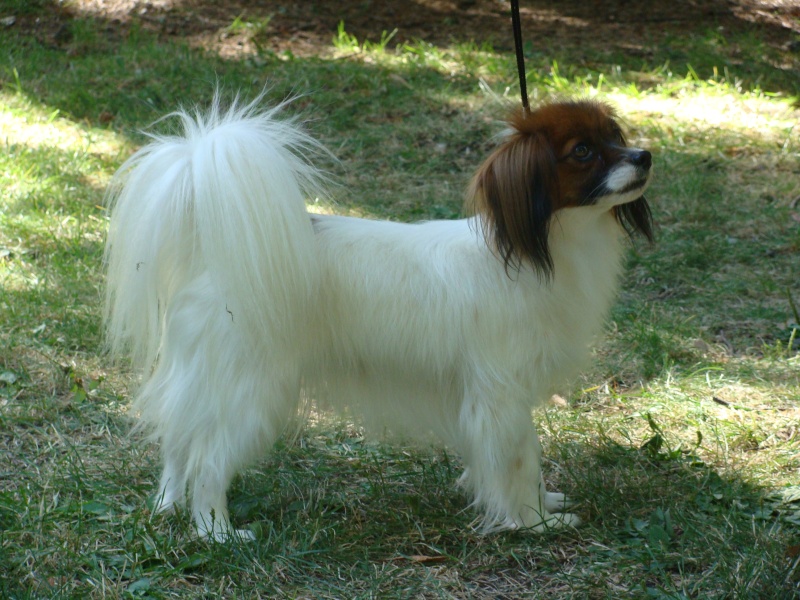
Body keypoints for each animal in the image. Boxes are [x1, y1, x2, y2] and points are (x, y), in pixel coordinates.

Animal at [103, 94, 652, 540]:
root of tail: (211, 253)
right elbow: (521, 461)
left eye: (616, 137)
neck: (528, 249)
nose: (645, 156)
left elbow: (504, 462)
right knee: (208, 461)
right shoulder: (501, 395)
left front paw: (533, 503)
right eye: (582, 152)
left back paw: (168, 507)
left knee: (178, 441)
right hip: (252, 392)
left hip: (205, 381)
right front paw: (533, 522)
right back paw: (216, 532)